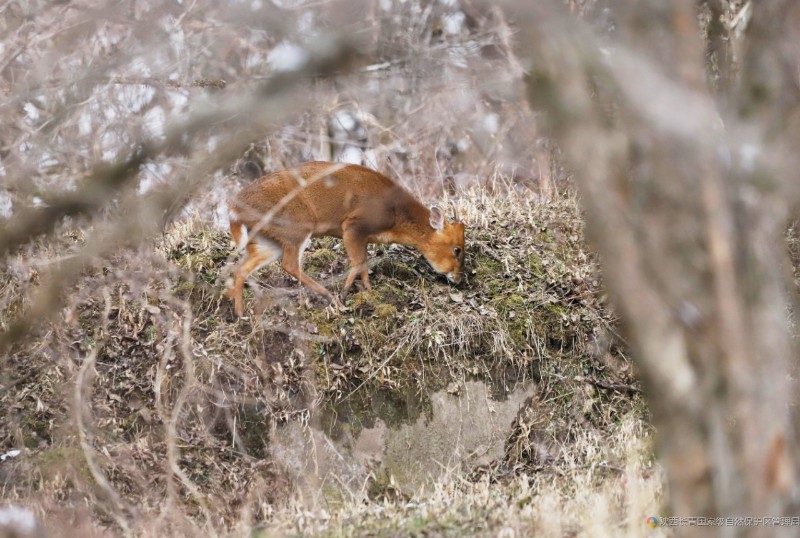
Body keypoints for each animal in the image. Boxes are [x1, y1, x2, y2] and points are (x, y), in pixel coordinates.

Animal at [225, 161, 466, 316]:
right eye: (457, 249)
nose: (459, 279)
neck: (395, 215)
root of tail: (235, 209)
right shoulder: (352, 225)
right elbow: (358, 262)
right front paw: (345, 293)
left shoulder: (364, 236)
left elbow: (364, 262)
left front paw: (368, 289)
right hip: (296, 225)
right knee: (290, 264)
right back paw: (329, 296)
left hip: (267, 241)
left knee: (242, 269)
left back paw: (239, 313)